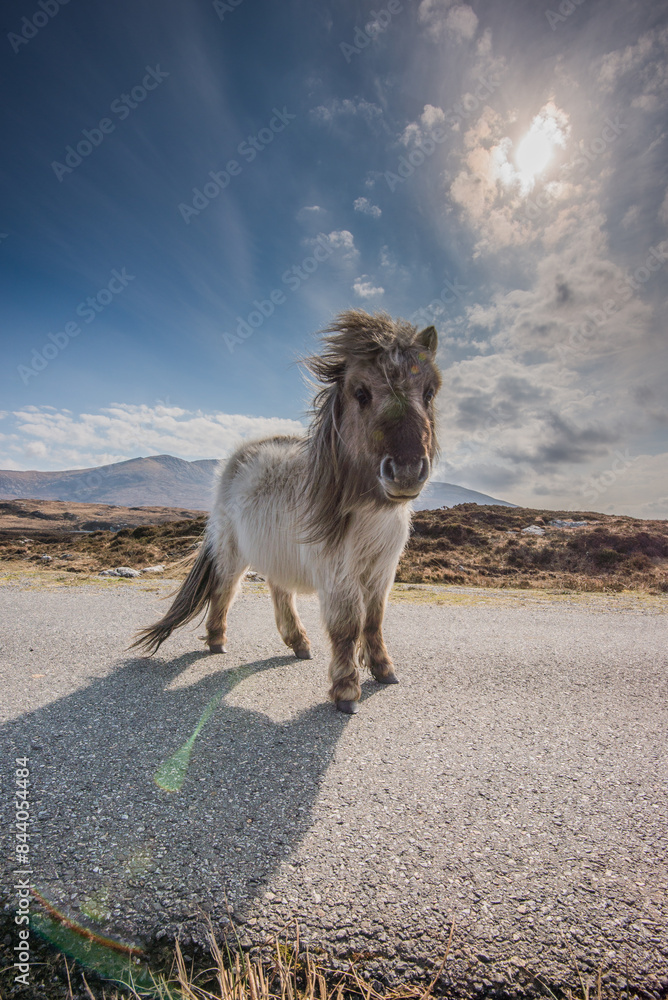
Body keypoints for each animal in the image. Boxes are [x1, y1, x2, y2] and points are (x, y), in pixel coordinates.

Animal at [131, 309, 441, 714]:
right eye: (361, 392)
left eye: (430, 392)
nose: (406, 471)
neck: (370, 513)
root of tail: (241, 454)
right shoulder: (338, 573)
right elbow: (347, 626)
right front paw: (346, 691)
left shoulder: (381, 572)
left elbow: (374, 622)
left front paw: (384, 670)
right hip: (232, 550)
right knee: (224, 588)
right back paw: (217, 641)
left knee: (280, 590)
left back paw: (299, 644)